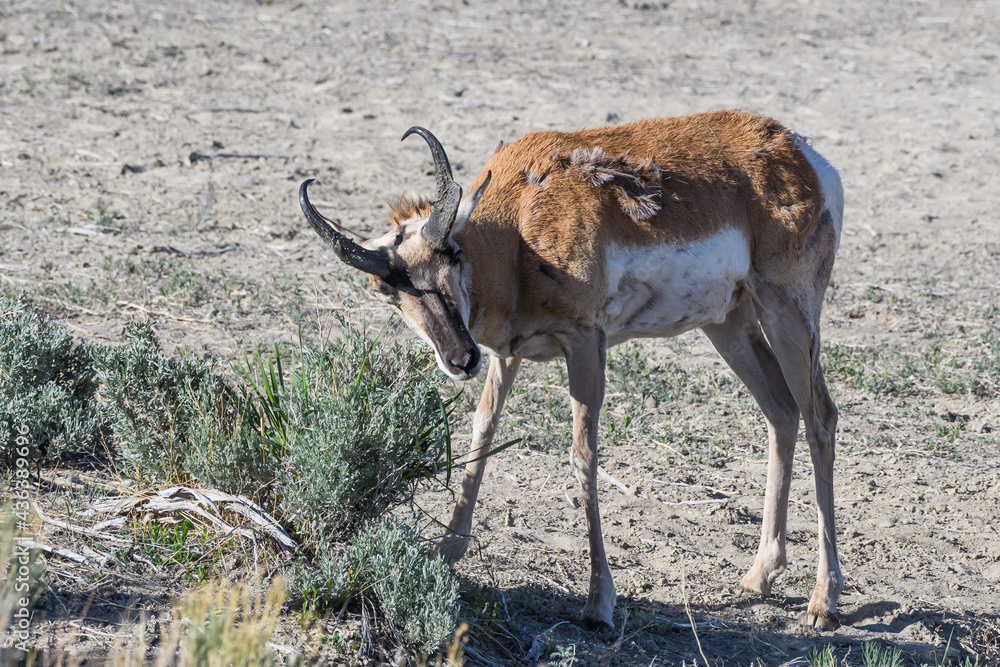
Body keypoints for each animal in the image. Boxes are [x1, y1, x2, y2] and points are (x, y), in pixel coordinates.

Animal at [298, 110, 844, 631]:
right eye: (390, 290)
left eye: (451, 253)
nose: (460, 358)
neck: (518, 226)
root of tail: (801, 154)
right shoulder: (507, 355)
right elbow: (482, 429)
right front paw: (446, 551)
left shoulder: (584, 343)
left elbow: (582, 455)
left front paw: (598, 603)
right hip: (728, 324)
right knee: (781, 412)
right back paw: (760, 575)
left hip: (786, 314)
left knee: (820, 416)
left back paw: (824, 602)